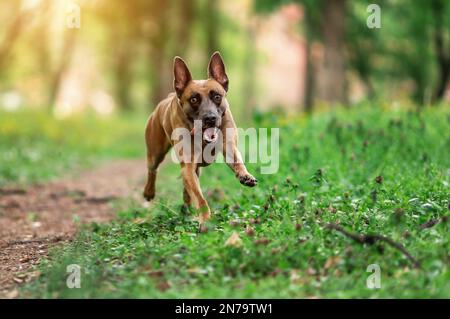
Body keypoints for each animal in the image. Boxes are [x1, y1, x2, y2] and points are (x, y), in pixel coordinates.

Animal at [144, 51, 256, 224]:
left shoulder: (229, 147)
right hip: (156, 152)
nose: (210, 118)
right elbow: (200, 197)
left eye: (217, 96)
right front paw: (205, 219)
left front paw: (245, 175)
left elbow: (237, 162)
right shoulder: (188, 165)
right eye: (194, 99)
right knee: (152, 169)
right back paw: (149, 192)